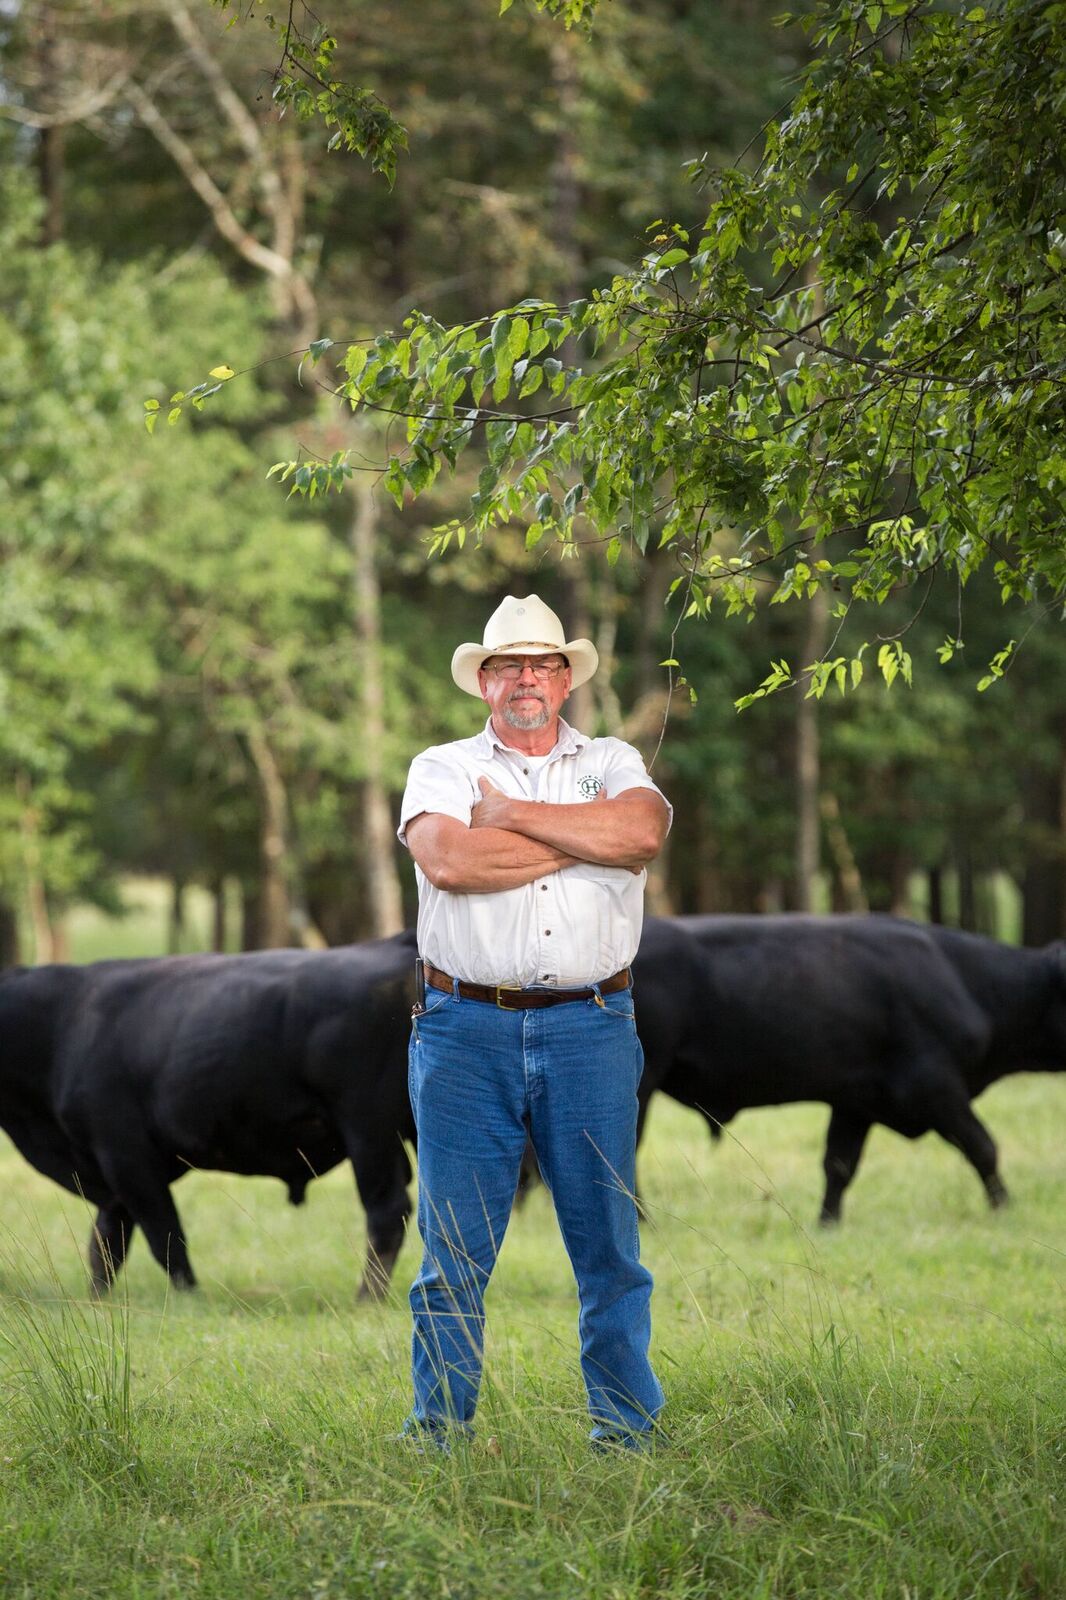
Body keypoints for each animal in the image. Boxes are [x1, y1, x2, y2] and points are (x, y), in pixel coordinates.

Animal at [0, 934, 416, 1299]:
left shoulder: (125, 1155)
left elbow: (164, 1236)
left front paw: (190, 1298)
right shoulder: (106, 1169)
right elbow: (105, 1243)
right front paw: (97, 1301)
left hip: (368, 1129)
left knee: (387, 1210)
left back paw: (367, 1297)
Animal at [656, 915, 1062, 1222]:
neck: (966, 982)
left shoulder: (855, 1102)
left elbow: (838, 1165)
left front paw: (827, 1223)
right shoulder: (936, 1089)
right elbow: (983, 1147)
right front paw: (1003, 1209)